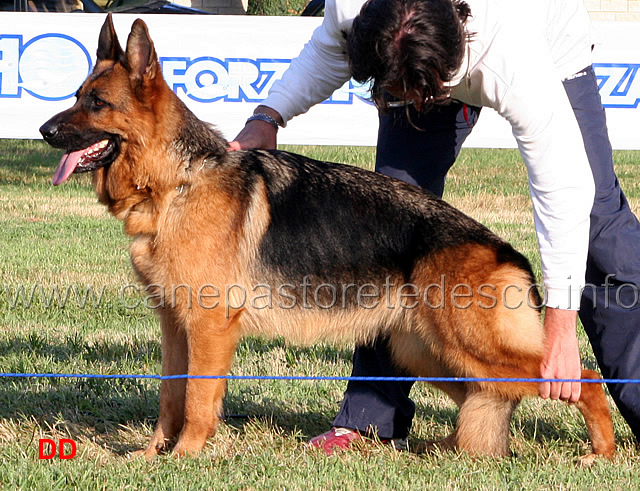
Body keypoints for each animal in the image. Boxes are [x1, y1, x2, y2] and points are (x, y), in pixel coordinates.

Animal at [40, 14, 616, 462]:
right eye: (76, 97)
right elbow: (169, 397)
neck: (175, 181)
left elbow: (199, 400)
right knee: (488, 396)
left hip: (470, 347)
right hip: (429, 354)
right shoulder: (174, 324)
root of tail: (504, 250)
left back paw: (602, 453)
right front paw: (151, 455)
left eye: (96, 103)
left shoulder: (209, 326)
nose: (45, 131)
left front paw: (186, 457)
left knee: (582, 377)